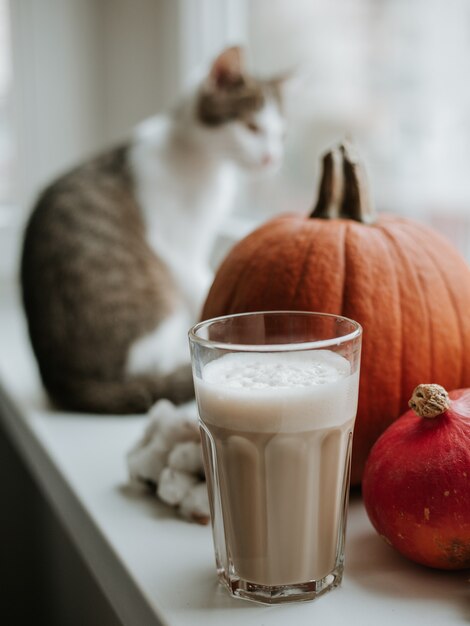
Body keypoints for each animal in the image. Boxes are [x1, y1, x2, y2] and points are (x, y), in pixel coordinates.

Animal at [20, 46, 286, 412]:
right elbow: (201, 286)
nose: (272, 158)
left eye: (280, 134)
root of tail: (59, 377)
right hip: (157, 309)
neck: (201, 158)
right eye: (252, 127)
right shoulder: (177, 246)